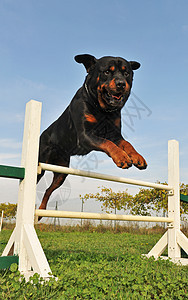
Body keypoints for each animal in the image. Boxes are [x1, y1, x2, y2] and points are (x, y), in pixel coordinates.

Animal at [37, 55, 148, 212]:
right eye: (107, 72)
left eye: (127, 73)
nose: (121, 84)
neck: (103, 110)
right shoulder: (85, 135)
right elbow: (107, 143)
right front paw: (121, 157)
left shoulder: (115, 135)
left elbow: (127, 143)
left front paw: (137, 157)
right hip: (40, 165)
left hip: (62, 172)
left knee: (48, 190)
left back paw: (41, 211)